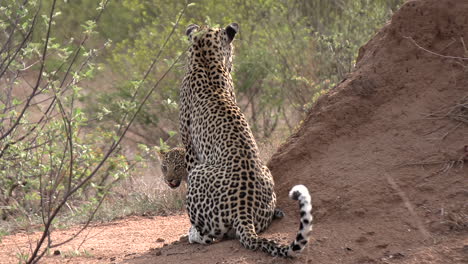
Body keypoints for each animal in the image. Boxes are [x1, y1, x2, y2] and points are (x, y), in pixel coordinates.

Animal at [177, 23, 312, 258]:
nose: (233, 62)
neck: (205, 59)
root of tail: (243, 211)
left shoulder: (190, 148)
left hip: (198, 174)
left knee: (210, 237)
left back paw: (193, 233)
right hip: (266, 174)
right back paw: (276, 213)